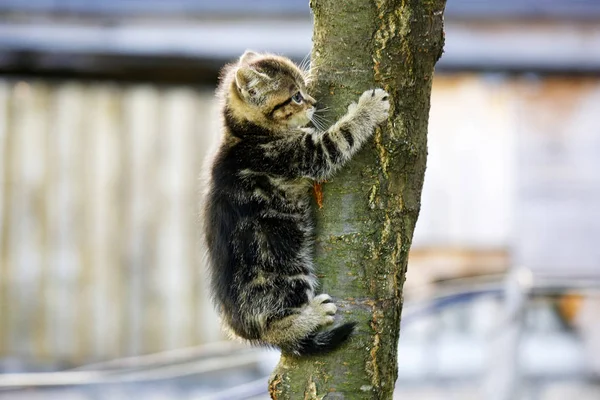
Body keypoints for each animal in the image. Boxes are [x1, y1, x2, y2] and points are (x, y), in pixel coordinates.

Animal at [202, 50, 390, 356]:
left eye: (305, 89)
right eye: (296, 97)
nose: (313, 103)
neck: (247, 134)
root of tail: (243, 329)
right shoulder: (306, 155)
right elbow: (341, 136)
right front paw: (369, 108)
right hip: (287, 272)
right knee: (277, 326)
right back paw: (311, 316)